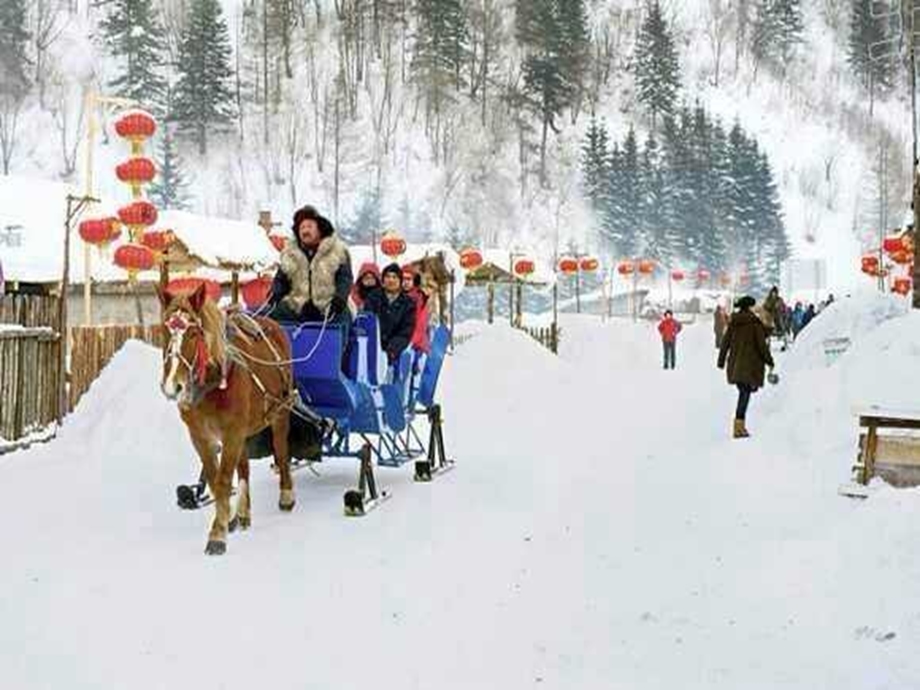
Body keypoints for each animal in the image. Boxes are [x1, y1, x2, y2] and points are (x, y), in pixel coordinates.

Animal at [158, 280, 294, 552]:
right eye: (165, 330)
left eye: (193, 333)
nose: (172, 386)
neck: (211, 384)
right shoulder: (201, 435)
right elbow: (215, 479)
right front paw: (226, 517)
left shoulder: (232, 431)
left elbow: (222, 480)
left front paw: (217, 534)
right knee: (243, 468)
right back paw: (242, 513)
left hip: (280, 412)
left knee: (281, 450)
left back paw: (286, 495)